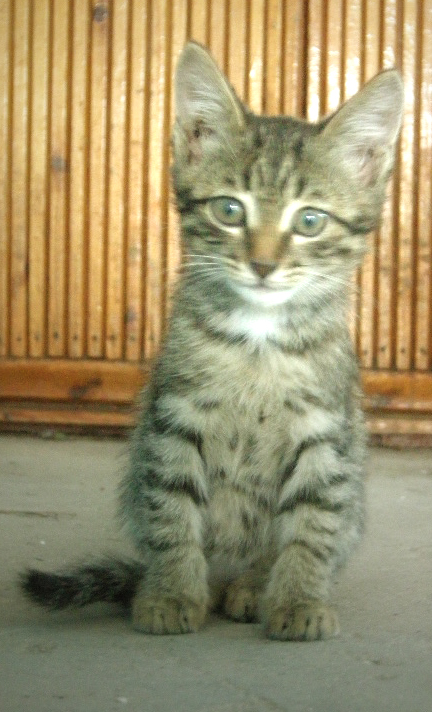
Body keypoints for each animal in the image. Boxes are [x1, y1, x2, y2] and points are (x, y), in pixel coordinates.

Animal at [20, 42, 403, 641]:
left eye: (310, 221)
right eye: (229, 210)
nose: (264, 265)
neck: (259, 342)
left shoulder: (325, 431)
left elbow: (313, 522)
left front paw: (298, 599)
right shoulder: (174, 418)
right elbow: (171, 510)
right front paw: (172, 592)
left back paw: (251, 585)